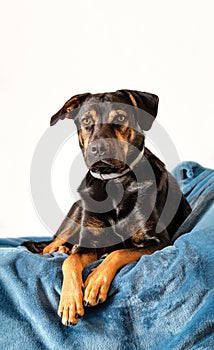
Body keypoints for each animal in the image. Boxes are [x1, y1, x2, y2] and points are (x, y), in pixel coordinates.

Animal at [23, 89, 192, 326]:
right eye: (86, 120)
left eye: (120, 117)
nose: (99, 148)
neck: (113, 182)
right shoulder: (88, 242)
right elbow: (71, 261)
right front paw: (69, 302)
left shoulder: (159, 242)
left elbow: (119, 252)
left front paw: (95, 282)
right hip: (75, 214)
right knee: (50, 247)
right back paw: (60, 249)